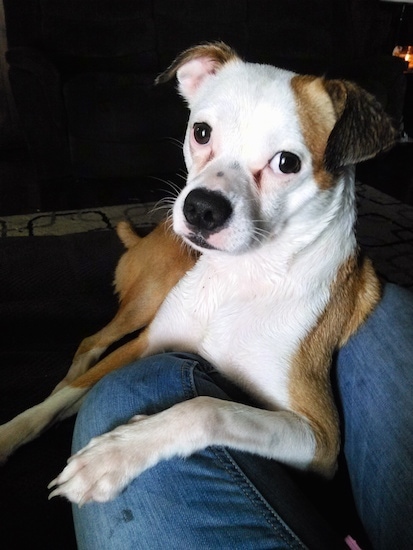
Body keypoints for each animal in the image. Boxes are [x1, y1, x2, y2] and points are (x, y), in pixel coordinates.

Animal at [0, 42, 392, 508]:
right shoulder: (147, 342)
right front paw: (10, 433)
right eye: (201, 132)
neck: (238, 277)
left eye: (287, 163)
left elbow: (208, 409)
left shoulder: (320, 439)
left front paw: (112, 455)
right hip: (146, 302)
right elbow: (62, 401)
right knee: (90, 345)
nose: (201, 208)